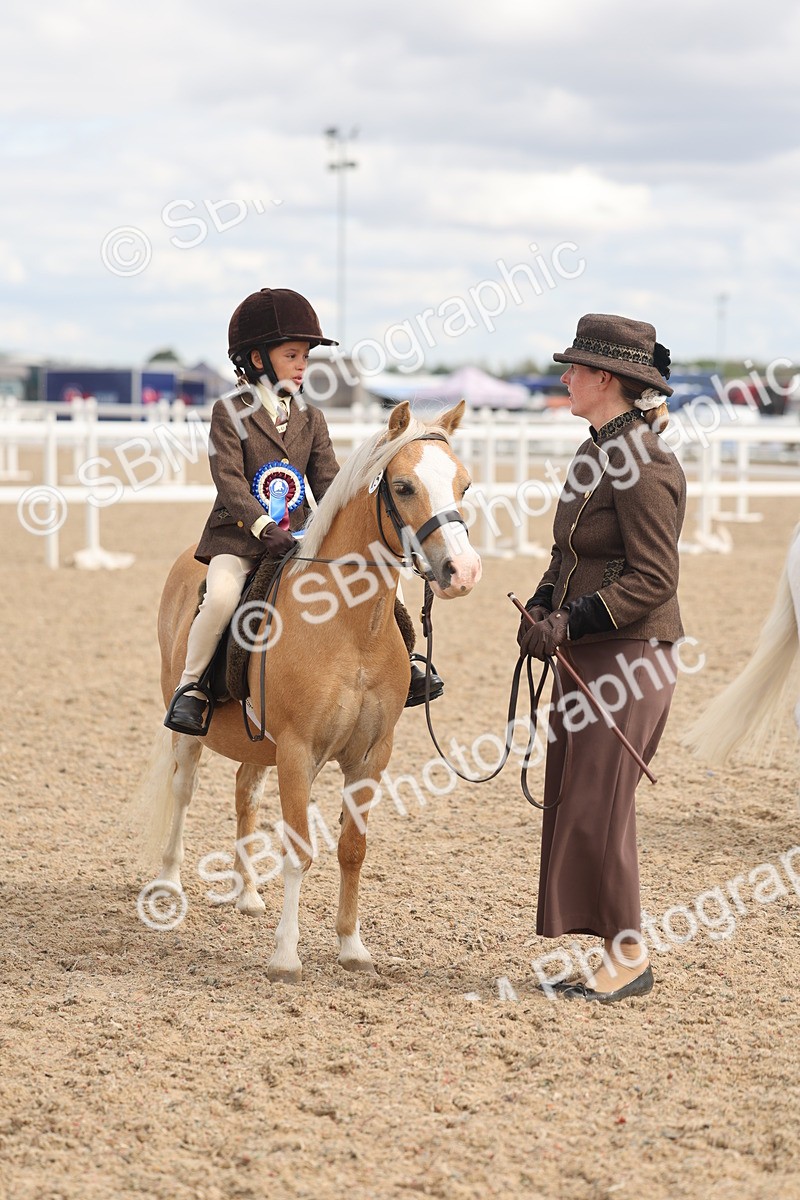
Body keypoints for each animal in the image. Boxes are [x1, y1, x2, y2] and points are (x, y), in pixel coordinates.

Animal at [138, 400, 482, 981]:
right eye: (405, 486)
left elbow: (352, 848)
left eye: (463, 484)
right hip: (190, 730)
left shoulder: (370, 755)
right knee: (183, 792)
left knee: (245, 794)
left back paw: (248, 895)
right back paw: (168, 885)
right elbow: (299, 850)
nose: (462, 572)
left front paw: (351, 946)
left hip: (260, 745)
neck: (349, 626)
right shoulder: (299, 752)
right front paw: (285, 957)